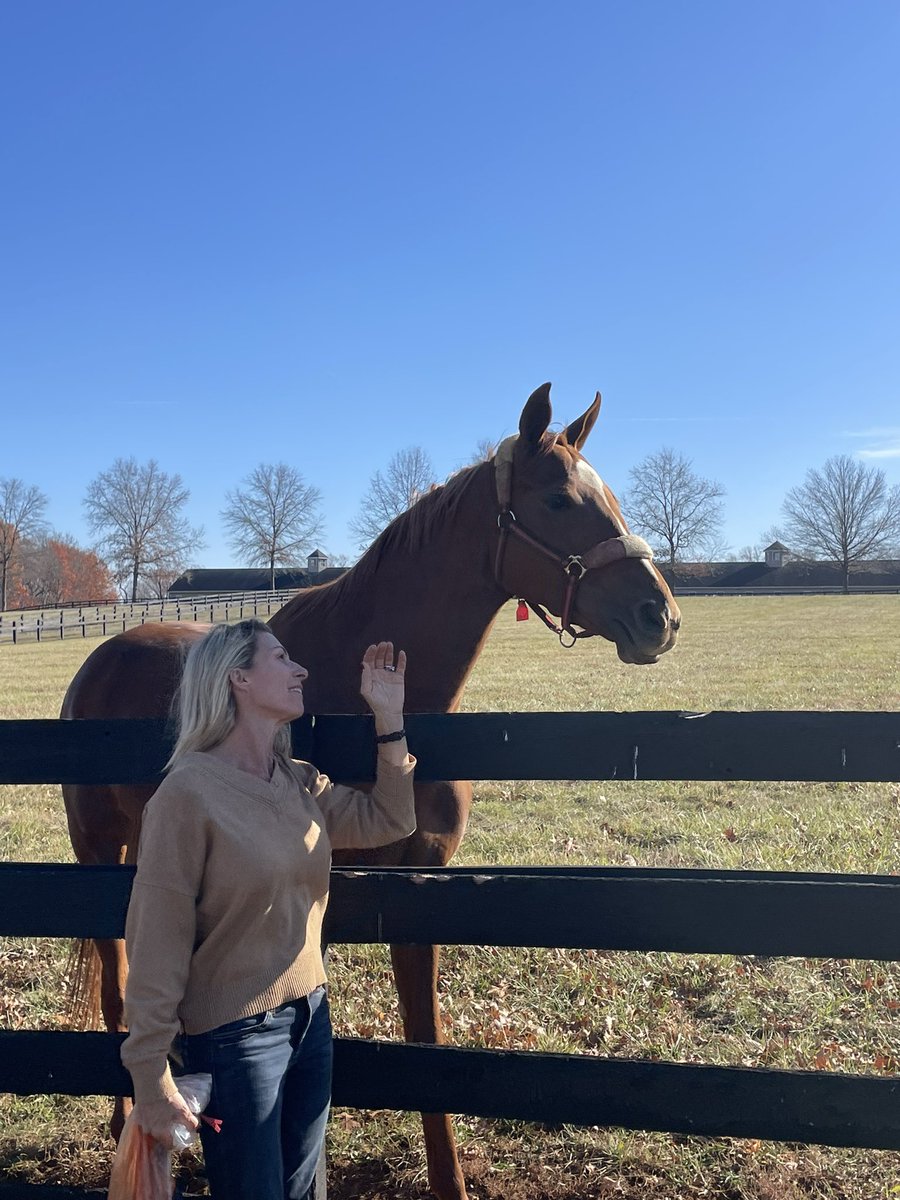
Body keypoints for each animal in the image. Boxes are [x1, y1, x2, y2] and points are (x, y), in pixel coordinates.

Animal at [61, 383, 680, 1200]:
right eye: (556, 499)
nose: (661, 617)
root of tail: (102, 656)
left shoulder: (419, 887)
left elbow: (426, 1043)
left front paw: (448, 1178)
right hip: (97, 852)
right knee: (115, 985)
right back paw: (123, 1124)